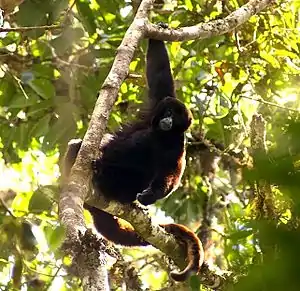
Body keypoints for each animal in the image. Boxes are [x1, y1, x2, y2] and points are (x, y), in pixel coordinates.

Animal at [63, 40, 204, 282]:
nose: (167, 120)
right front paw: (156, 35)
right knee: (77, 146)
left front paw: (150, 195)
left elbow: (171, 175)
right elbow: (159, 75)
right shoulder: (155, 106)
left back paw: (103, 175)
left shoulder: (177, 145)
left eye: (175, 119)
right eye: (167, 112)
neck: (163, 134)